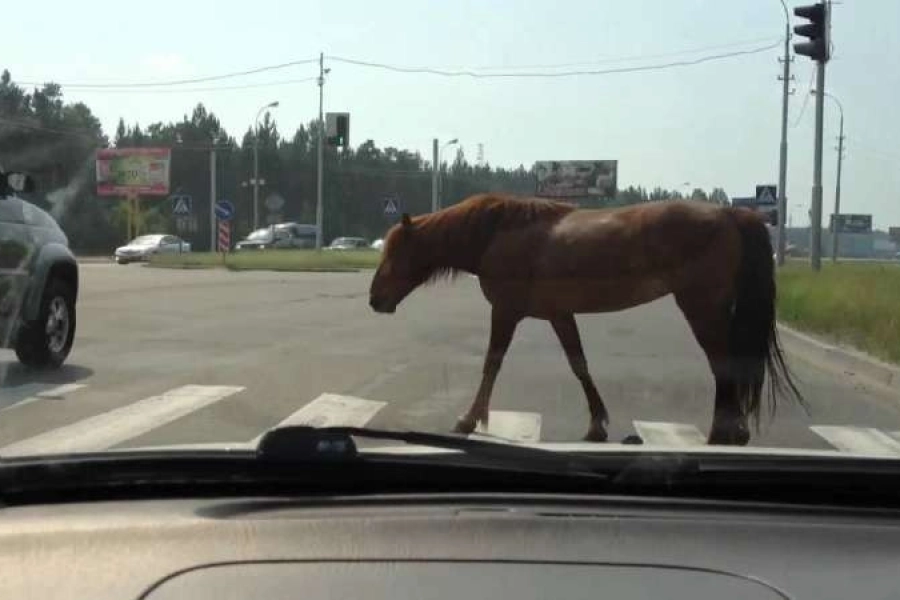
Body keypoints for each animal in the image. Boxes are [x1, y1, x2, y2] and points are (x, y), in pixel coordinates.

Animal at [370, 192, 804, 446]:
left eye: (394, 253)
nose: (375, 299)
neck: (499, 232)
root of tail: (732, 213)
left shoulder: (506, 312)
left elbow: (492, 363)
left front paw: (468, 419)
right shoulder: (559, 315)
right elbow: (579, 364)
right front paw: (597, 423)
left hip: (701, 306)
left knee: (724, 366)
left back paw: (723, 433)